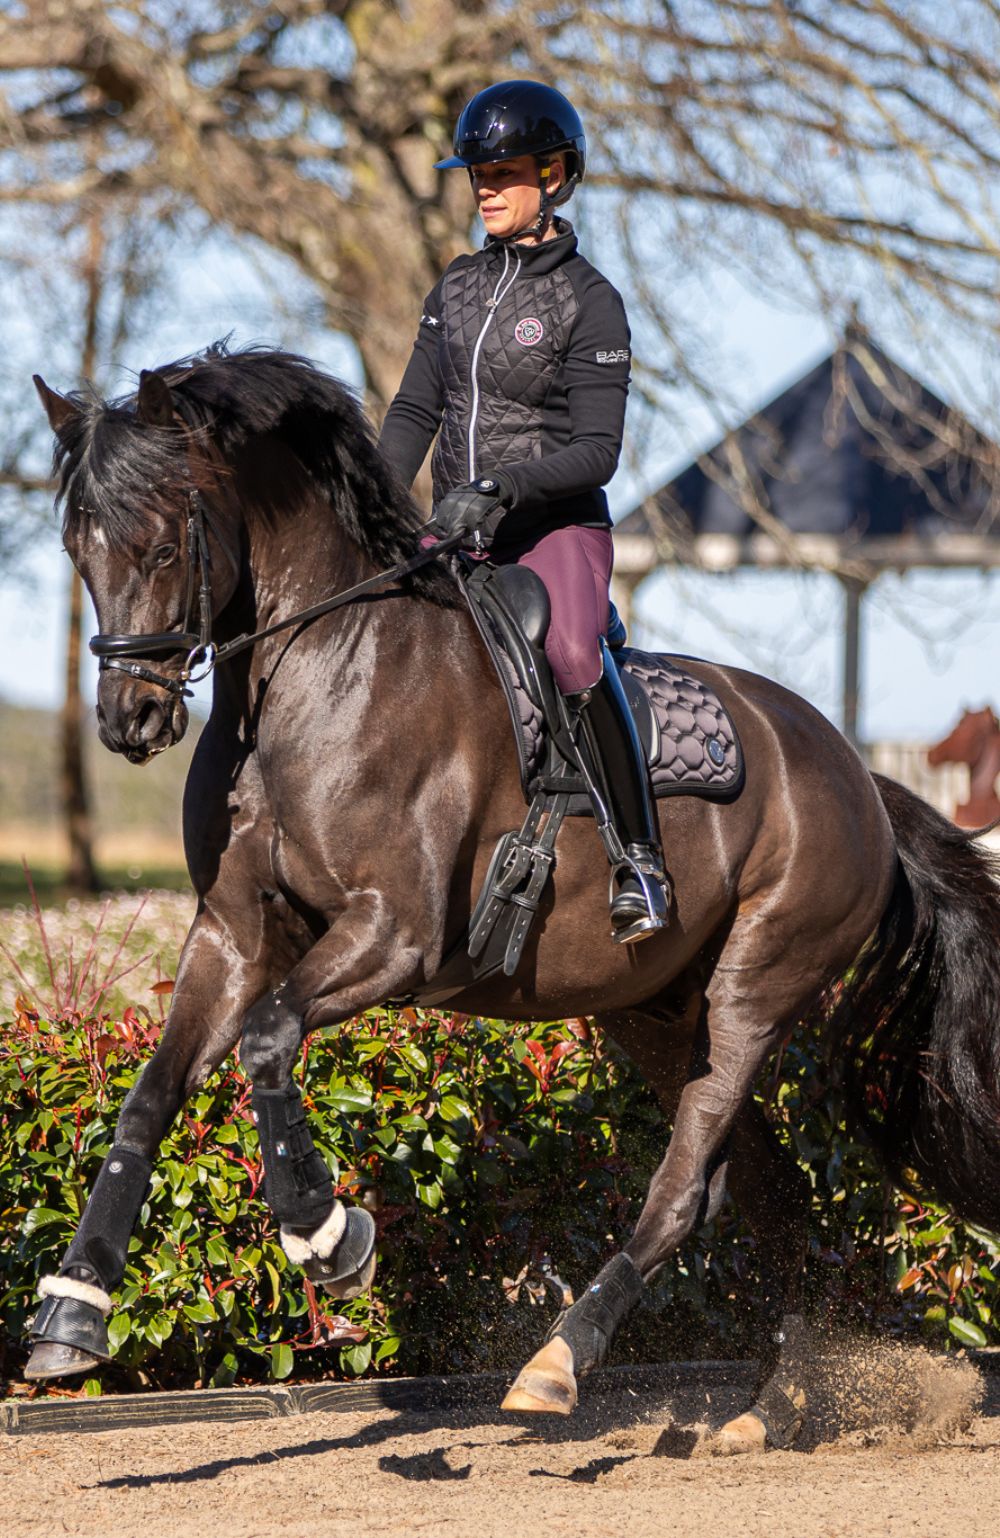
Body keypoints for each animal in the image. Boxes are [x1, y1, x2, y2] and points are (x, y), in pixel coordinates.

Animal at [24, 343, 1000, 1453]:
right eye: (77, 546)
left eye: (160, 539)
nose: (128, 718)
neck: (315, 679)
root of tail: (856, 773)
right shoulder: (234, 936)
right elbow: (149, 1097)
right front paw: (73, 1310)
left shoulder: (392, 935)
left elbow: (268, 1041)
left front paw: (327, 1233)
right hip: (657, 1014)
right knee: (769, 1196)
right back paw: (769, 1408)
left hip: (755, 990)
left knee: (682, 1193)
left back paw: (558, 1362)